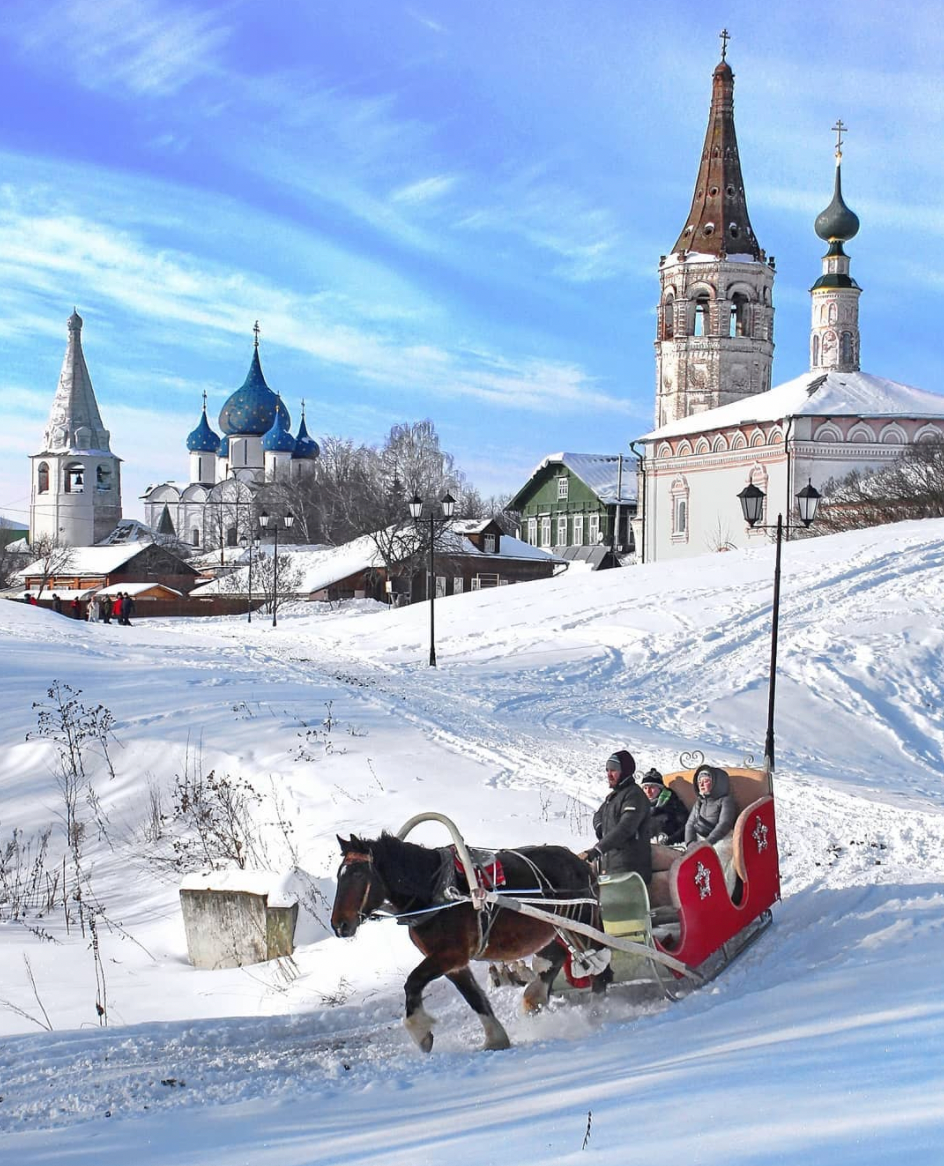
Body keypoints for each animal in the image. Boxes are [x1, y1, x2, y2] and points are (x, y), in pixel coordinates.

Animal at [328, 830, 601, 1058]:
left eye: (358, 874)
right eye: (339, 876)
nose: (339, 925)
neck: (436, 892)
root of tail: (580, 862)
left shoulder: (450, 955)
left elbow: (412, 982)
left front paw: (420, 1031)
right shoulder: (454, 964)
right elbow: (475, 998)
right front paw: (495, 1039)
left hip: (583, 923)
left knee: (599, 965)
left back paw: (601, 1009)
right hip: (555, 929)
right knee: (557, 958)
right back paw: (534, 1000)